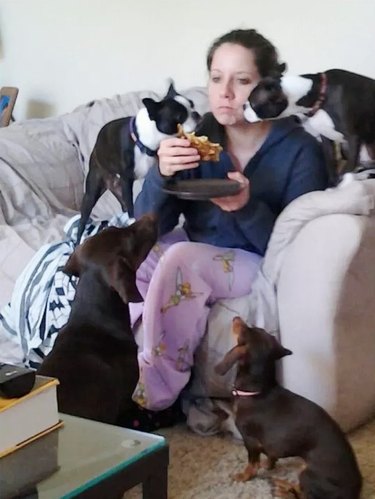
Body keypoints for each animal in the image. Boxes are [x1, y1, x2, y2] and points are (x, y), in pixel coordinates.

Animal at [77, 82, 203, 244]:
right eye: (179, 116)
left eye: (192, 105)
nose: (196, 114)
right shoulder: (126, 180)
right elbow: (132, 207)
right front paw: (132, 222)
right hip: (93, 192)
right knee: (83, 221)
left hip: (118, 189)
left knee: (123, 204)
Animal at [216, 318, 362, 498]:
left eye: (247, 330)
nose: (237, 318)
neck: (258, 391)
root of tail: (354, 492)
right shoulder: (269, 443)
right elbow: (270, 456)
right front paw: (268, 465)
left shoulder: (250, 440)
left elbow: (252, 463)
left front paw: (243, 476)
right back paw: (283, 485)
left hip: (307, 473)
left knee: (304, 495)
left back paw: (282, 488)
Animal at [244, 69, 375, 176]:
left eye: (252, 103)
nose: (243, 106)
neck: (318, 95)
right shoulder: (326, 139)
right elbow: (330, 166)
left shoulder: (353, 139)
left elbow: (346, 171)